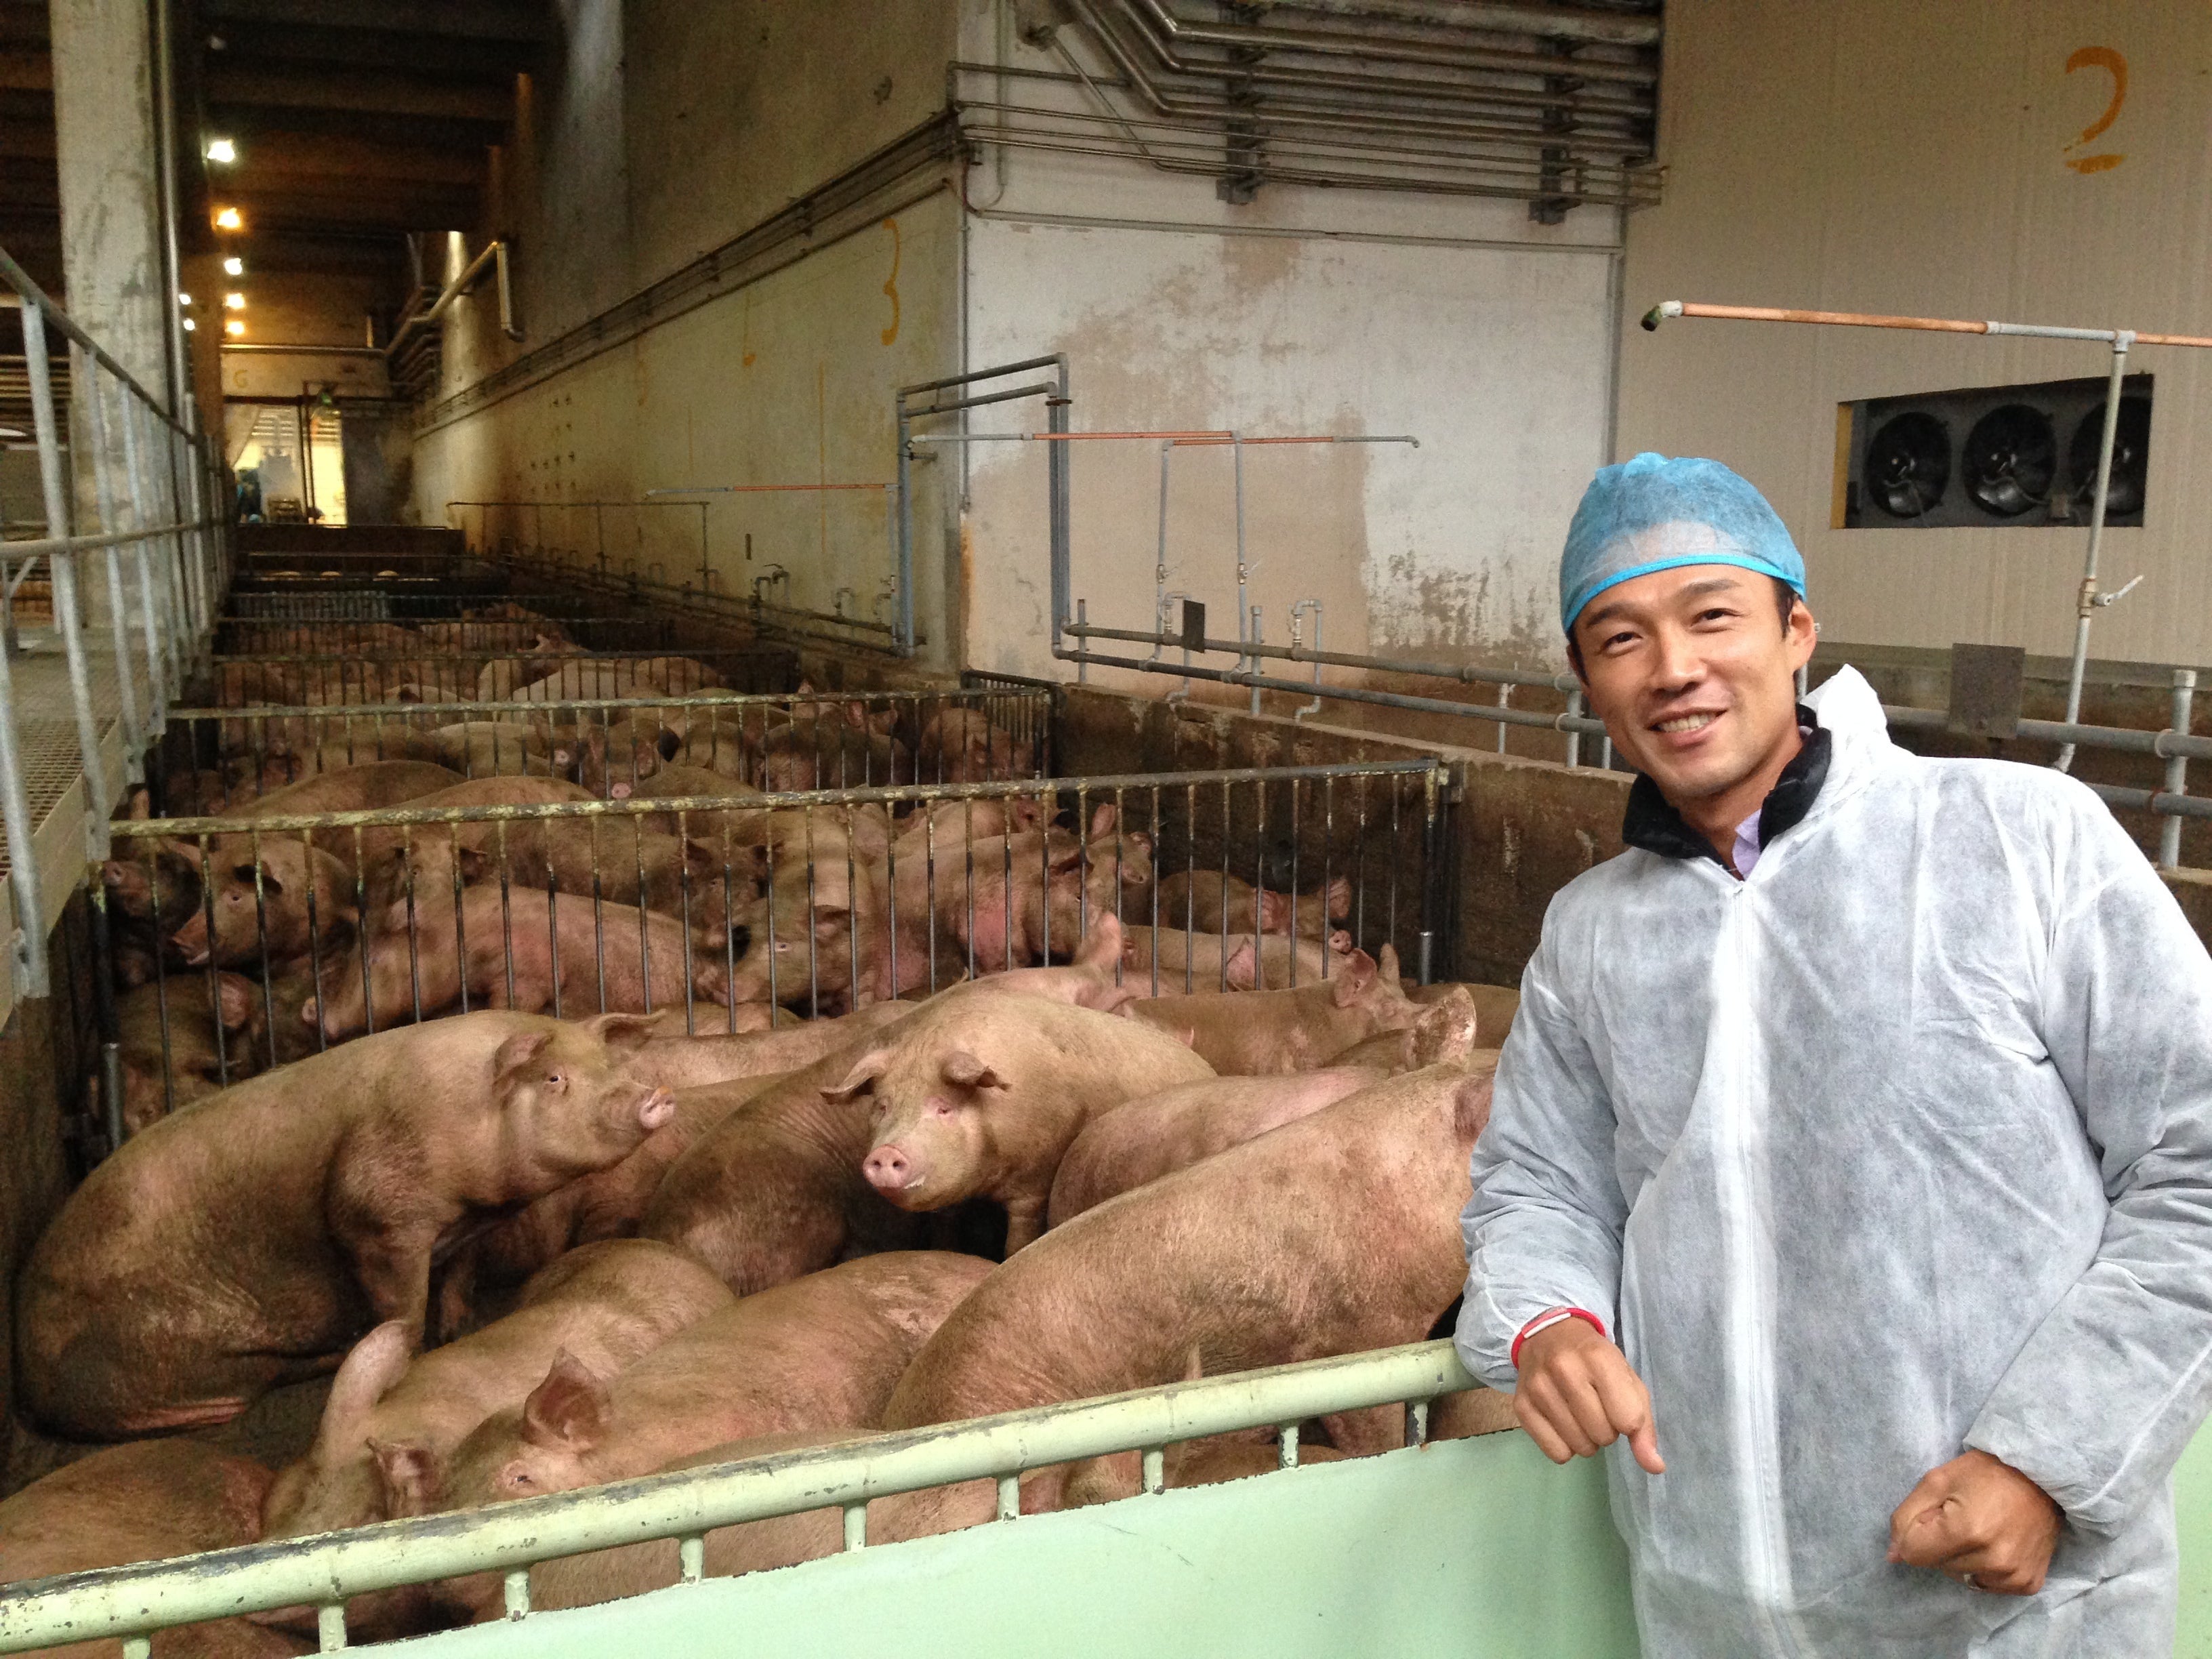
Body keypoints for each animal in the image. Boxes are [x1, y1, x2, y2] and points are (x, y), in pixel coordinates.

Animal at [13, 1010, 674, 1439]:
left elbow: (459, 1273)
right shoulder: (375, 1219)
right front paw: (412, 1347)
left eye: (611, 1062)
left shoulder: (466, 1226)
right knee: (249, 1385)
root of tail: (33, 1377)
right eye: (555, 1078)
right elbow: (401, 1307)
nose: (656, 1094)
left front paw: (459, 1325)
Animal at [831, 988, 1215, 1251]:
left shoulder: (1035, 1184)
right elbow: (945, 1230)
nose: (885, 1154)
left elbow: (1018, 1240)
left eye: (943, 1108)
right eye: (883, 1106)